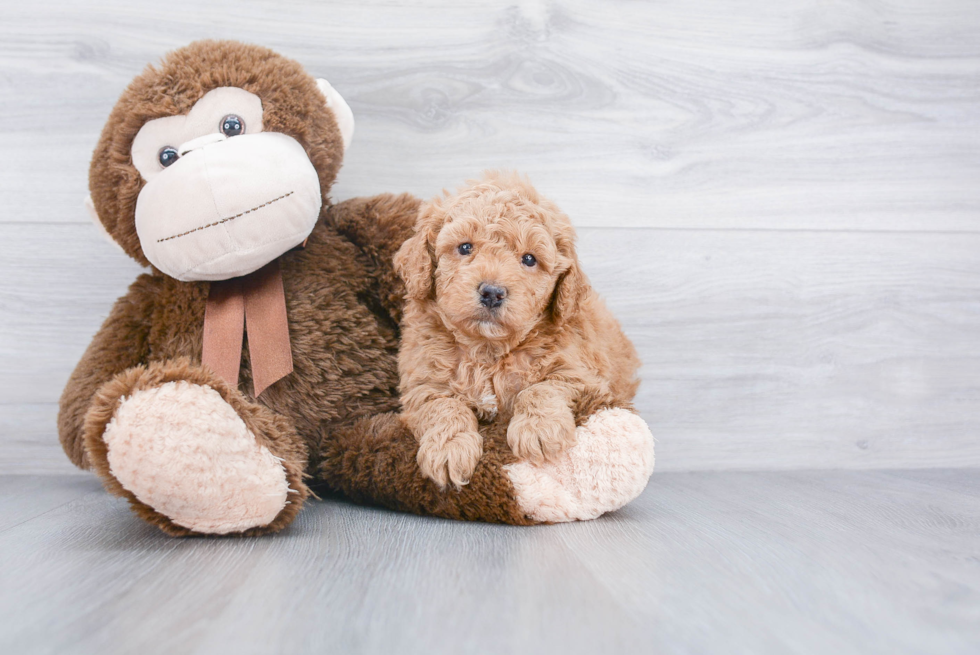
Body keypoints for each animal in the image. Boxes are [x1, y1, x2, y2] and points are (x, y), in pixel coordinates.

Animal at [394, 172, 640, 490]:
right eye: (465, 247)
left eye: (529, 259)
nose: (492, 292)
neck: (487, 350)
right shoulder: (422, 386)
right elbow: (444, 407)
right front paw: (449, 449)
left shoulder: (583, 378)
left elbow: (540, 388)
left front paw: (538, 429)